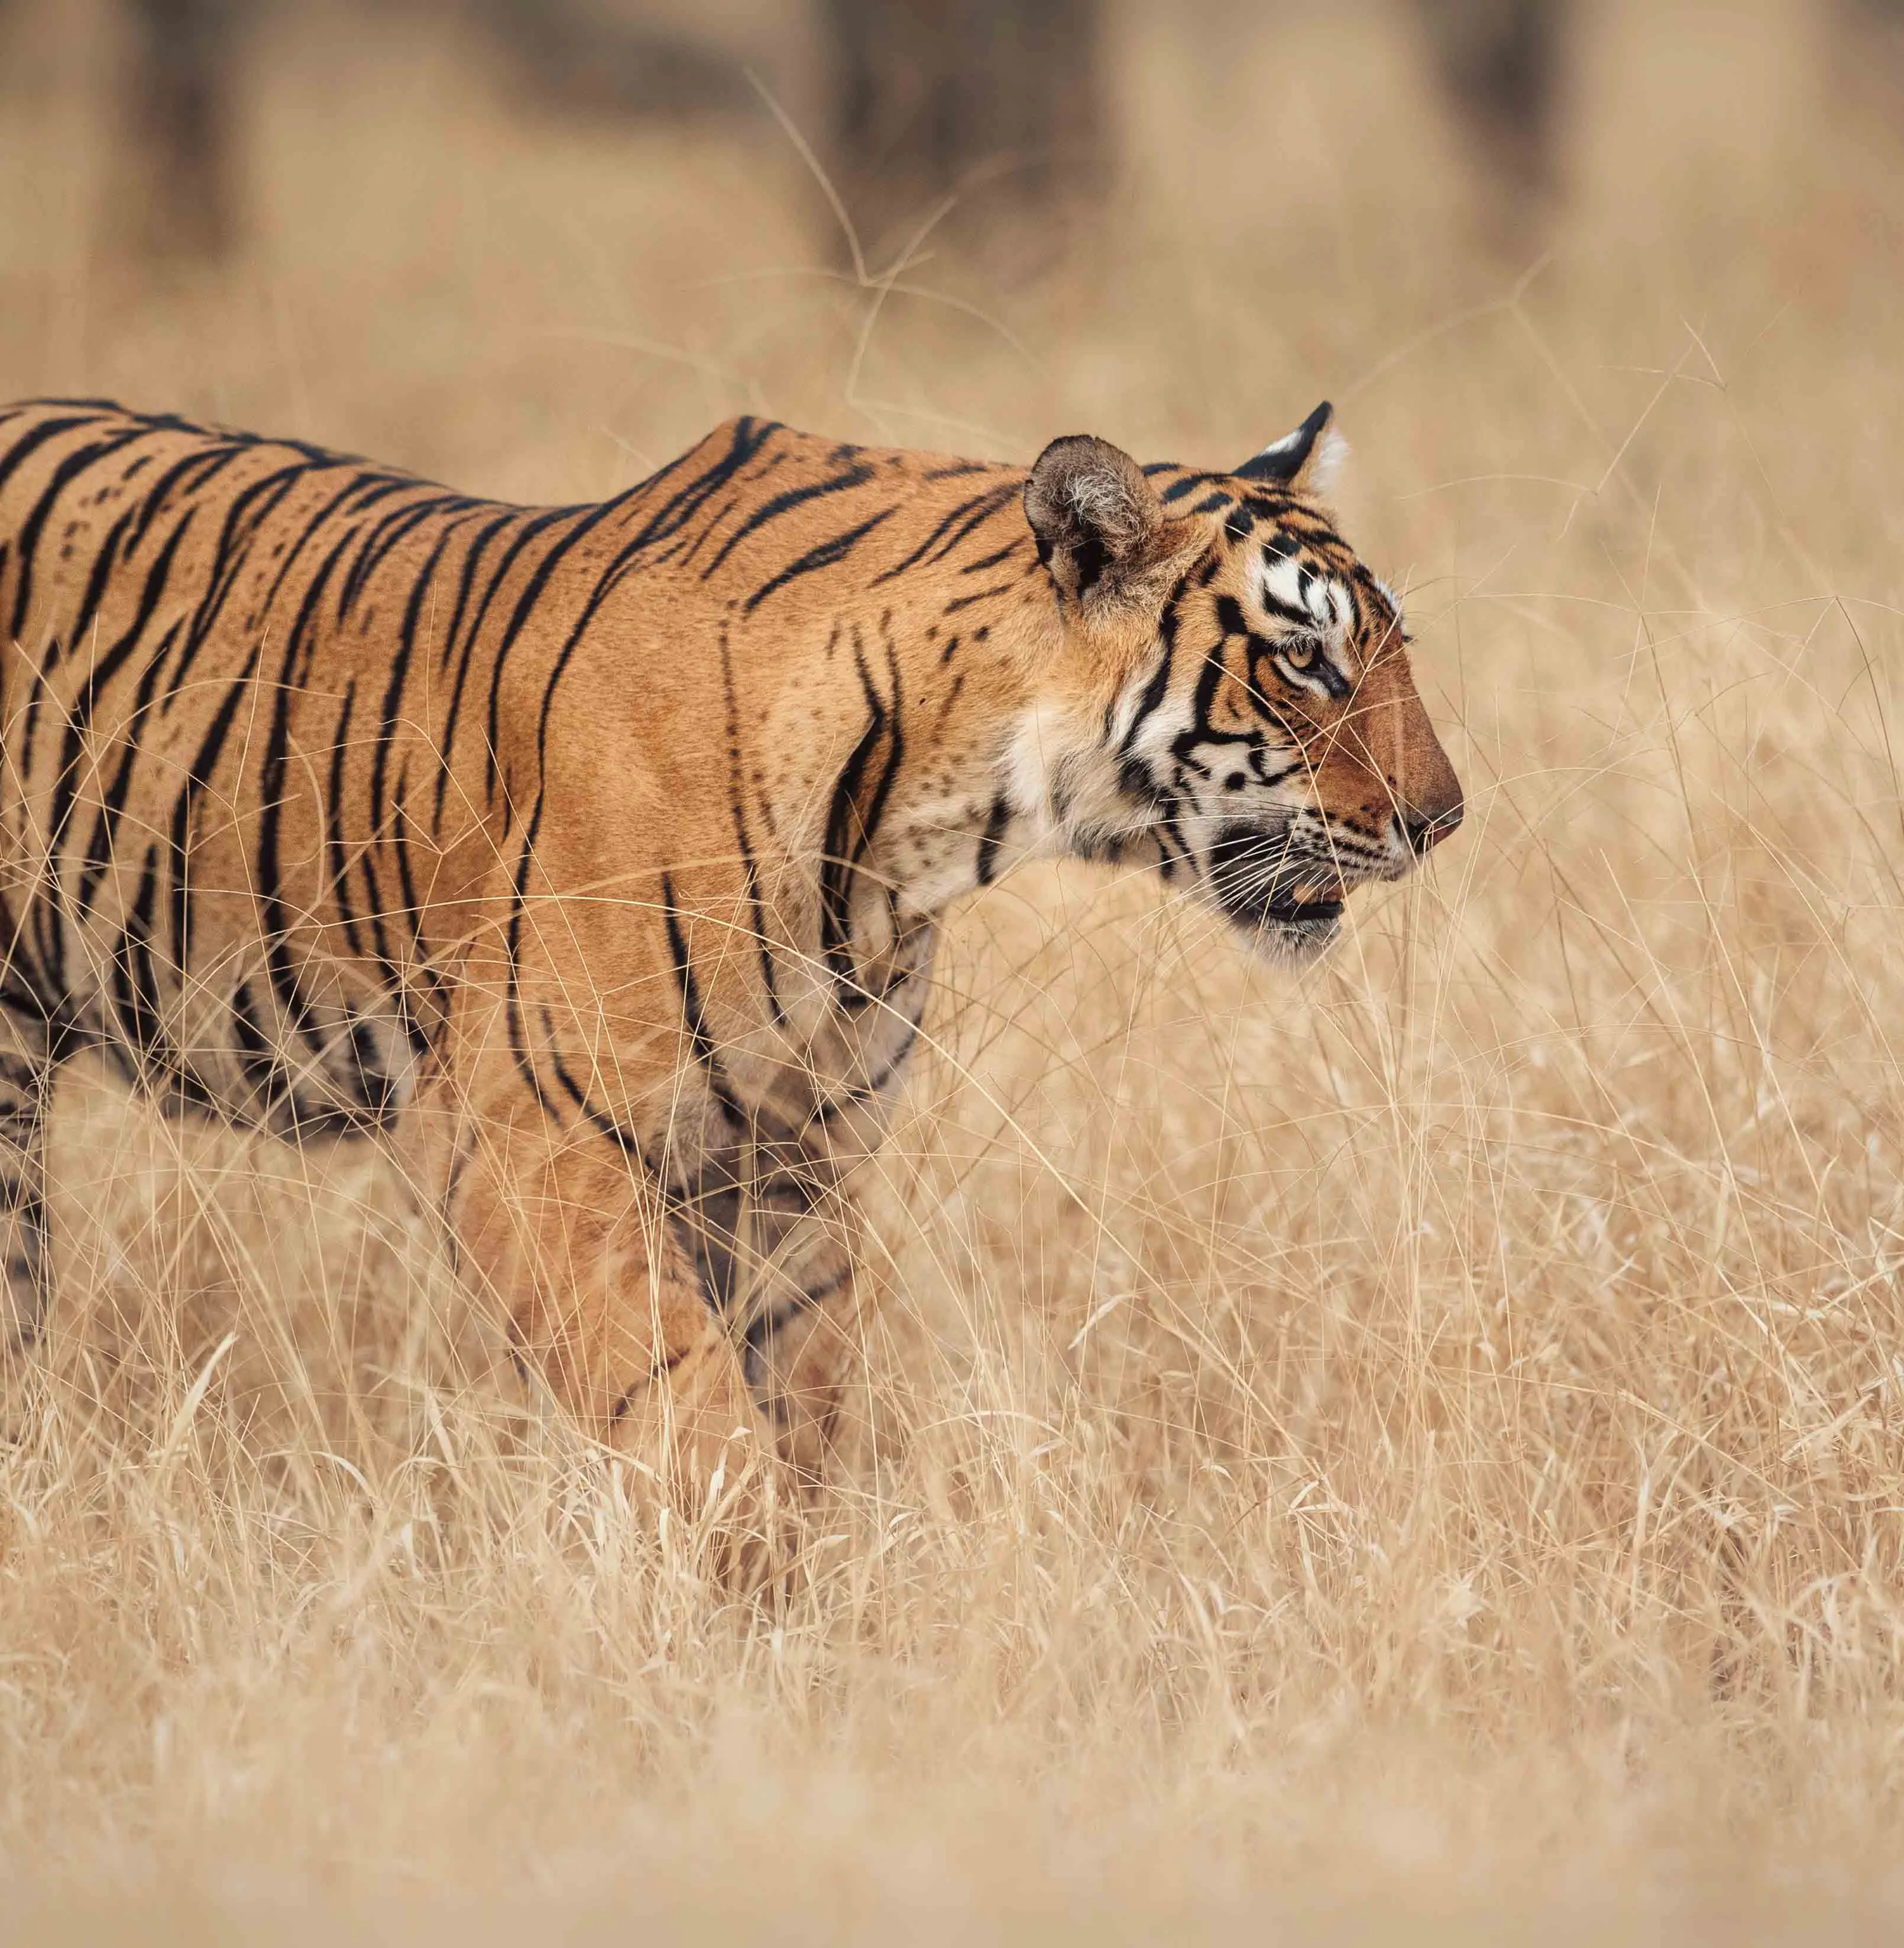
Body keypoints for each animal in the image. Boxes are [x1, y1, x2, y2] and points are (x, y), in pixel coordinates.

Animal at [0, 394, 1461, 1523]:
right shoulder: (521, 1129)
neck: (924, 839)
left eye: (1389, 648)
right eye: (1306, 663)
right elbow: (686, 1409)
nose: (1444, 819)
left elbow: (796, 1406)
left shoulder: (790, 1151)